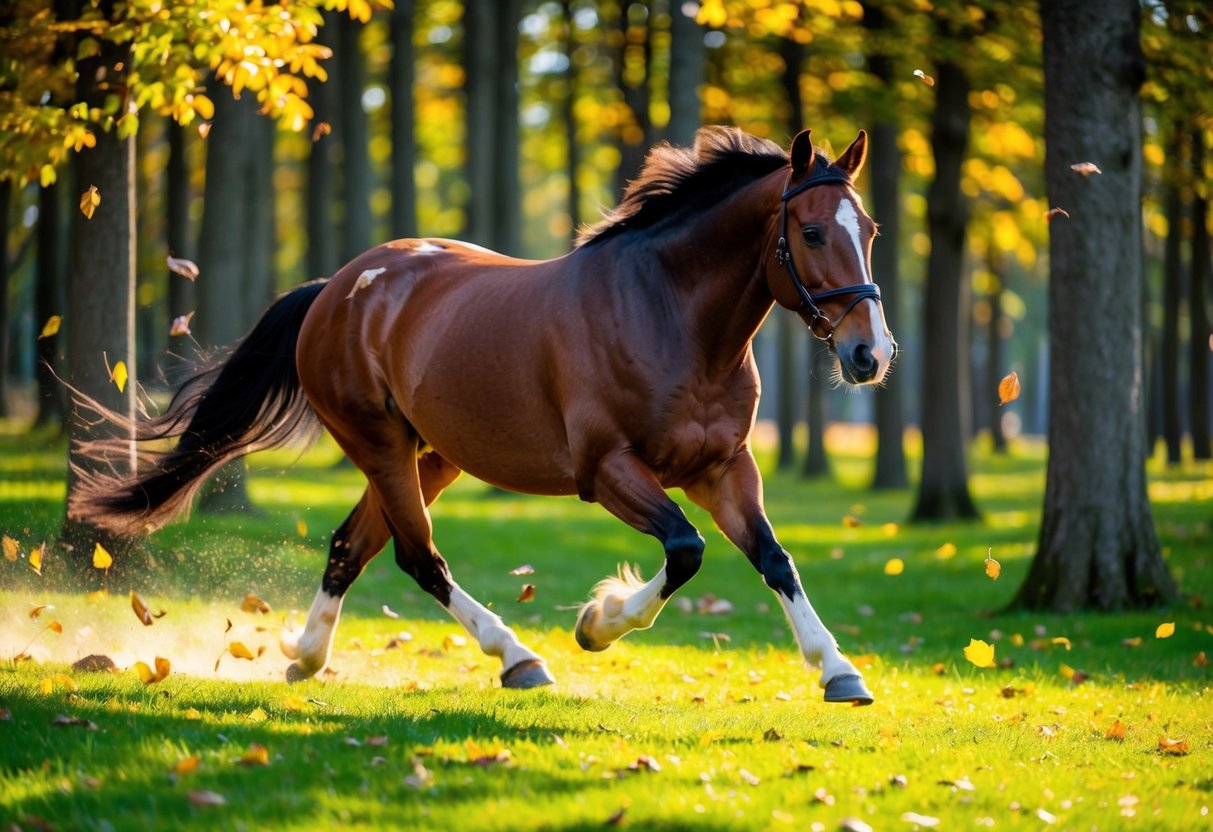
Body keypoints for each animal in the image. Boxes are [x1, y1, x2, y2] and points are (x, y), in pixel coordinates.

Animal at [69, 126, 896, 705]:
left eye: (871, 231)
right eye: (811, 232)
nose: (871, 354)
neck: (667, 315)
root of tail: (334, 289)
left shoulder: (723, 467)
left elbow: (773, 559)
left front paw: (839, 673)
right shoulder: (609, 470)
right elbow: (686, 550)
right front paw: (595, 625)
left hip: (432, 454)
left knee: (349, 546)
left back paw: (305, 658)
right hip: (379, 445)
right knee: (416, 557)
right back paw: (518, 658)